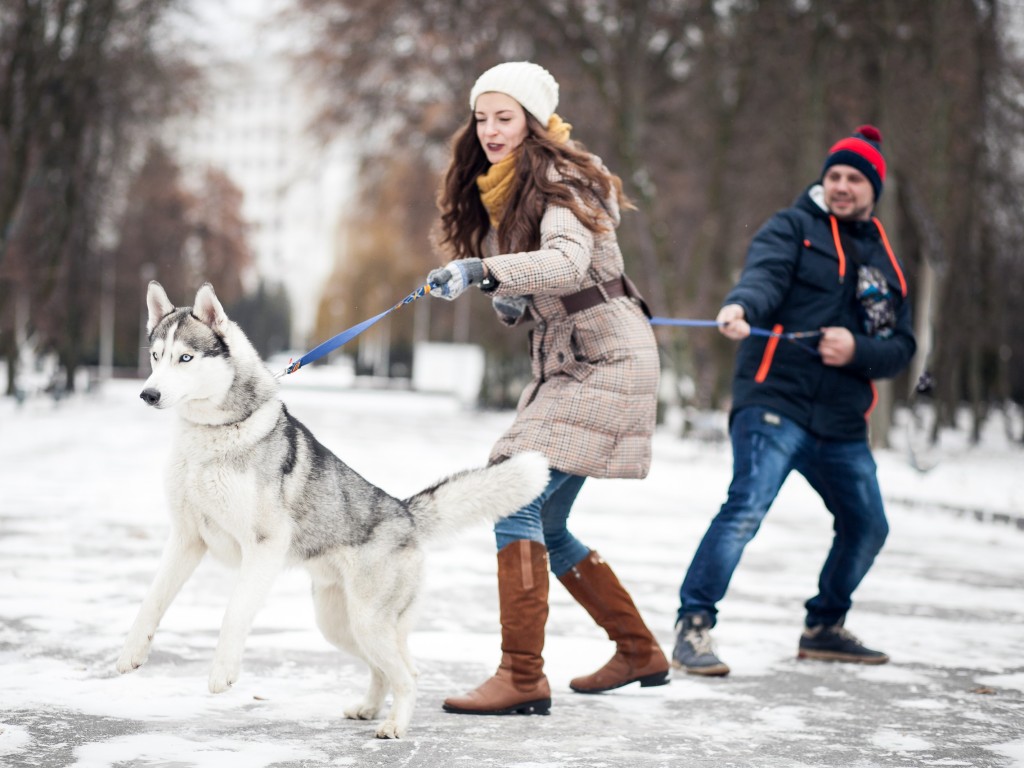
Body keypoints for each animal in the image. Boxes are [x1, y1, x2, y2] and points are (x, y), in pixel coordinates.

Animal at [115, 280, 548, 741]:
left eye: (186, 358)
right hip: (340, 625)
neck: (212, 437)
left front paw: (222, 673)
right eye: (155, 356)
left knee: (409, 674)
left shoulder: (264, 546)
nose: (148, 394)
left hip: (367, 621)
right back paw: (370, 709)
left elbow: (234, 613)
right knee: (387, 669)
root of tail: (405, 513)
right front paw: (131, 653)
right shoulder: (187, 538)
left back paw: (395, 725)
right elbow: (152, 600)